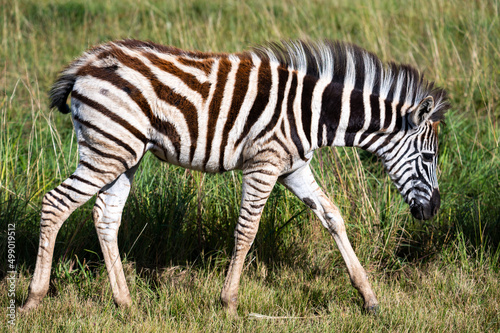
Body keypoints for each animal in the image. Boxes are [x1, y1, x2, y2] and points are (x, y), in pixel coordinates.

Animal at [20, 39, 450, 314]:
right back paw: (34, 298)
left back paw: (126, 305)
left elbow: (333, 217)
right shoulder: (264, 164)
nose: (433, 211)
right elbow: (247, 230)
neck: (314, 114)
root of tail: (85, 65)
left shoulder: (294, 167)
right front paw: (228, 303)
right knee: (55, 203)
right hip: (109, 148)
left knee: (105, 217)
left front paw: (369, 297)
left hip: (122, 153)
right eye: (429, 157)